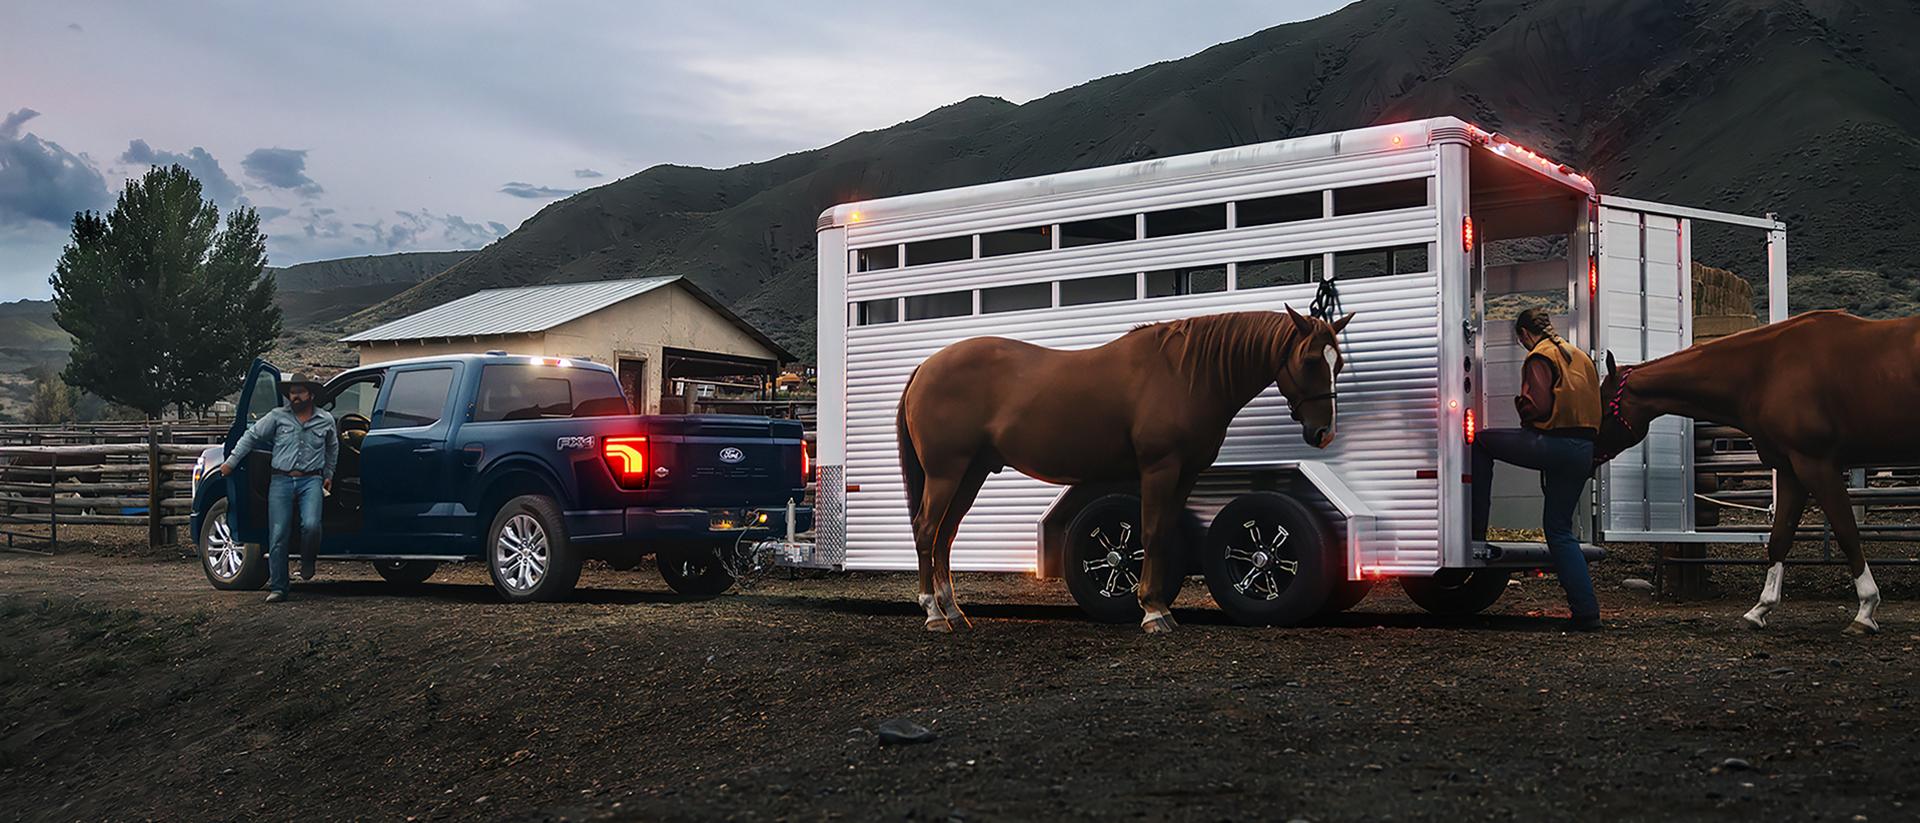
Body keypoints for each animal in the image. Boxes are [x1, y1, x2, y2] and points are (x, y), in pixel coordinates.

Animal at [896, 307, 1353, 634]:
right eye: (1310, 361)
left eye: (1339, 364)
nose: (1323, 432)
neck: (1186, 372)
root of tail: (924, 368)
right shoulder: (1159, 468)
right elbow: (1149, 532)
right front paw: (1151, 612)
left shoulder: (1185, 474)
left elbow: (1164, 533)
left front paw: (1160, 607)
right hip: (946, 472)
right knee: (926, 529)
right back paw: (933, 614)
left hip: (970, 473)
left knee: (945, 534)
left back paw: (954, 611)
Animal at [1595, 310, 1920, 634]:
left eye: (1604, 409)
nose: (1591, 453)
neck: (1765, 372)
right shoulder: (1790, 470)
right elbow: (1780, 538)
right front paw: (1760, 608)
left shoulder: (1817, 465)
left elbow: (1847, 533)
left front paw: (1866, 610)